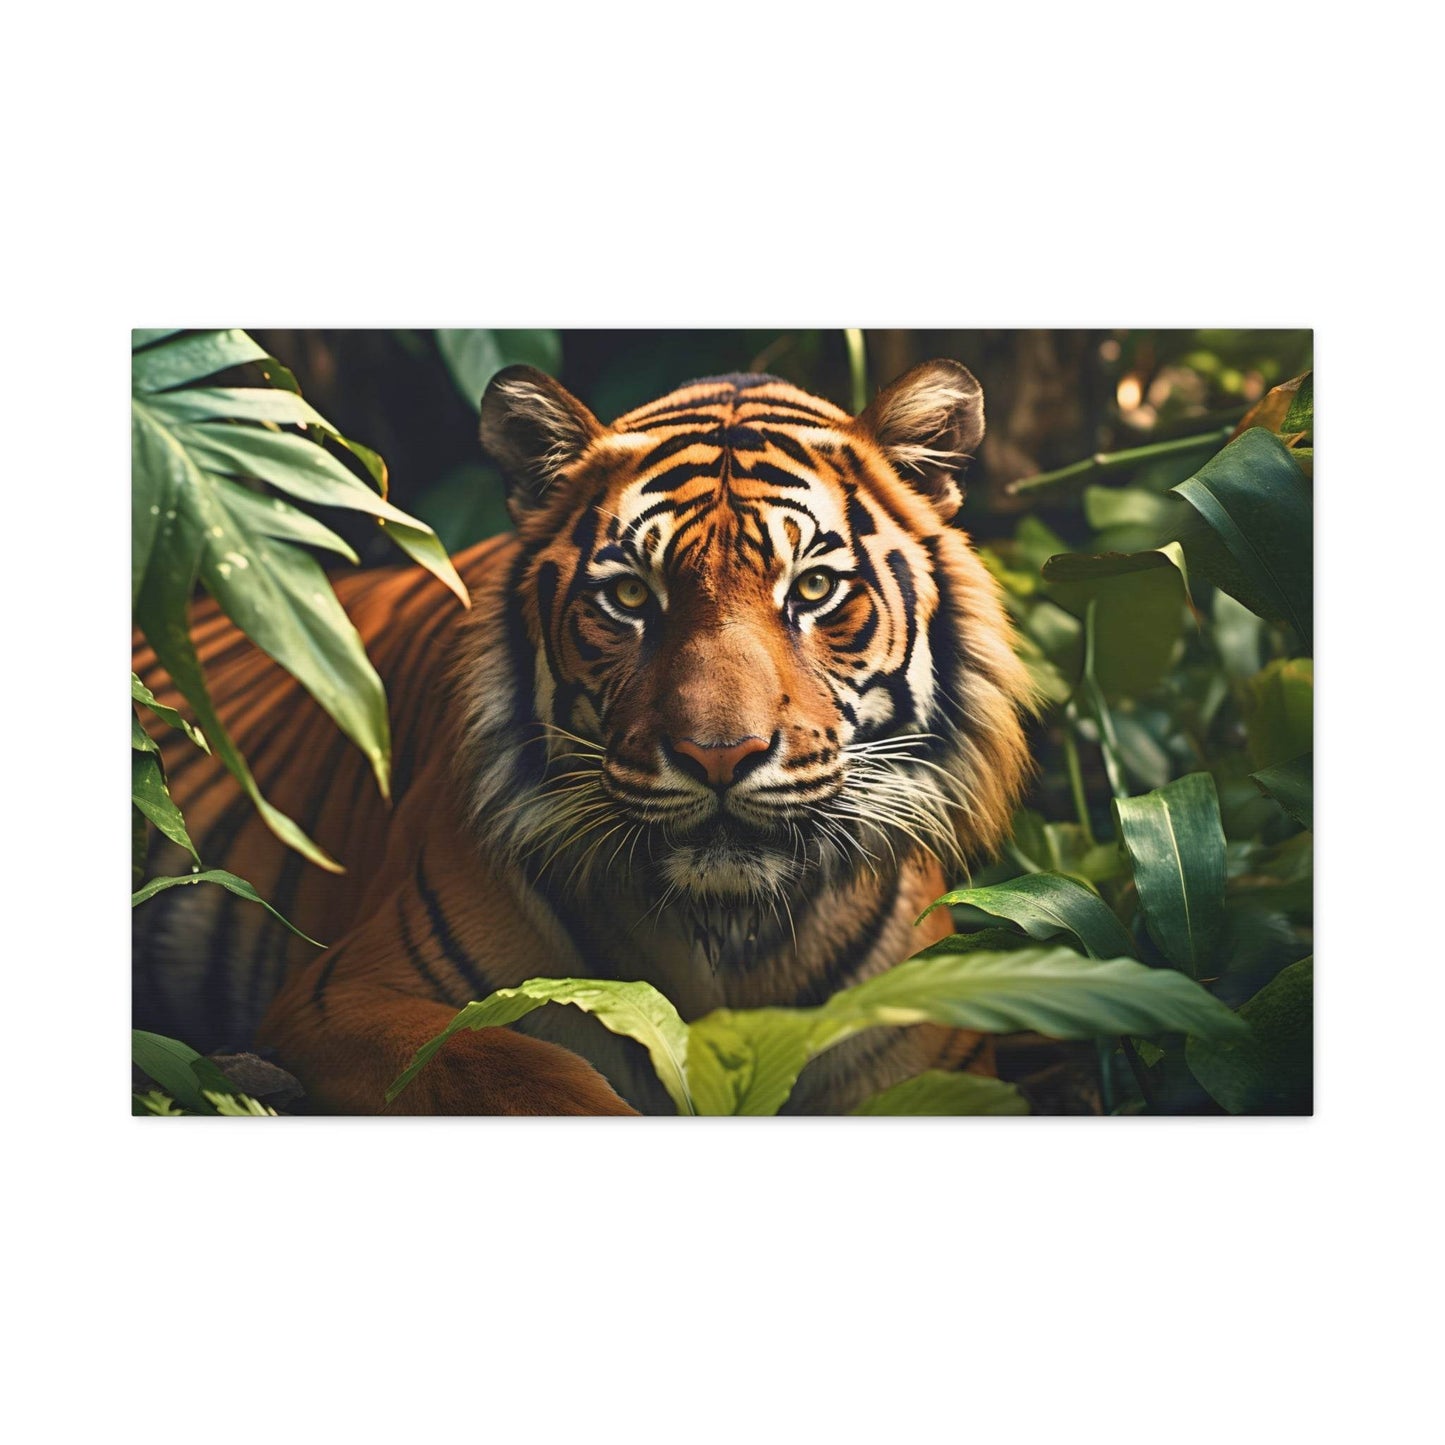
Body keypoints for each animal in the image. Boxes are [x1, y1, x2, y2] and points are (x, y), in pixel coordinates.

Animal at [133, 358, 1036, 1115]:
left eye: (813, 588)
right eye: (631, 597)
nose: (718, 755)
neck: (724, 937)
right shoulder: (346, 994)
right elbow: (518, 1071)